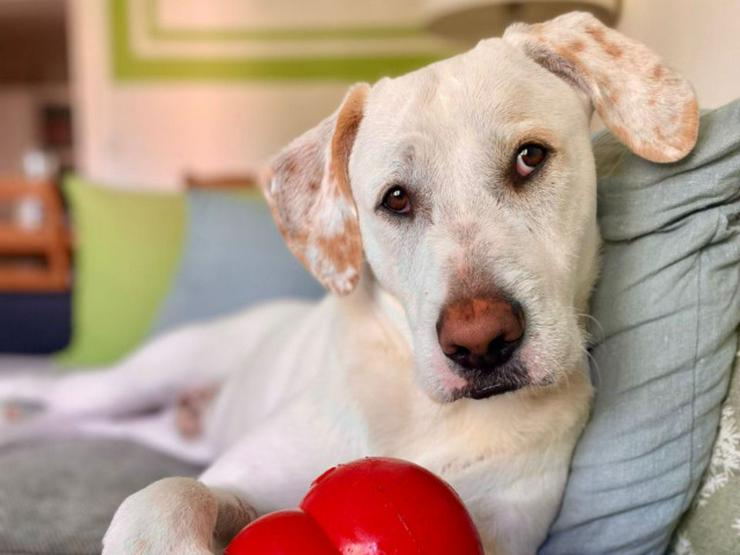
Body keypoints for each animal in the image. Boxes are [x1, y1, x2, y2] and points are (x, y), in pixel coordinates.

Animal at [0, 13, 696, 555]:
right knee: (54, 392)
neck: (418, 409)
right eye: (395, 199)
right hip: (141, 377)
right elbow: (170, 494)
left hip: (143, 423)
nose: (480, 344)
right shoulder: (238, 477)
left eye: (530, 158)